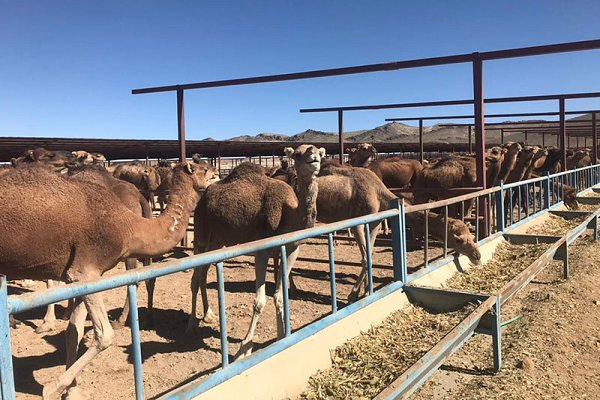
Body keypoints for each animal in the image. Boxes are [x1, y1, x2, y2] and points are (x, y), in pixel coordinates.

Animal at [0, 161, 219, 398]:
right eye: (204, 170)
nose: (218, 175)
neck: (128, 227)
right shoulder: (85, 270)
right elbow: (104, 335)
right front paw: (51, 389)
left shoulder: (84, 277)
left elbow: (73, 332)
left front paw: (72, 391)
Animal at [190, 145, 326, 358]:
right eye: (297, 154)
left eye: (320, 153)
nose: (313, 157)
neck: (289, 213)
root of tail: (202, 196)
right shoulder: (262, 251)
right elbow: (259, 302)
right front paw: (244, 349)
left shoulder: (291, 249)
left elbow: (279, 295)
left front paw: (281, 336)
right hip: (201, 232)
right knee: (195, 277)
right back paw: (190, 326)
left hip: (219, 241)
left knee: (203, 273)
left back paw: (209, 315)